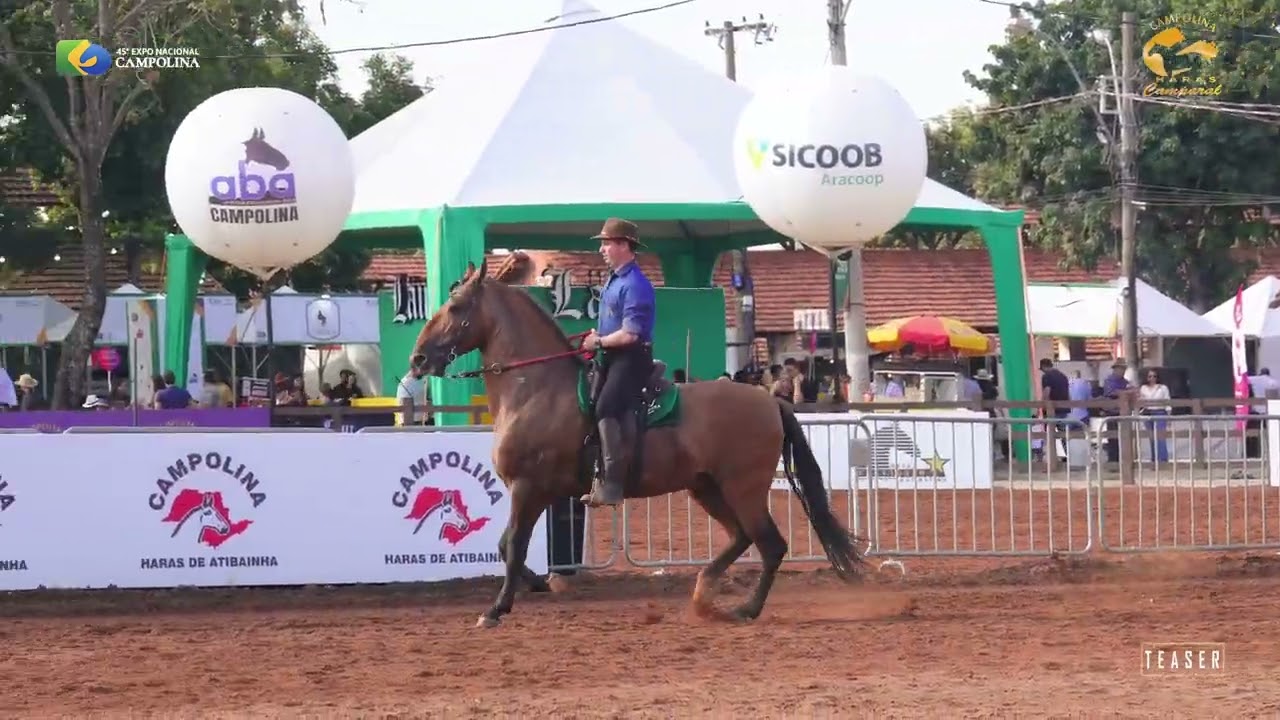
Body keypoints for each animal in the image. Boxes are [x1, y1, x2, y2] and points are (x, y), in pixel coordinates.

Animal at [410, 260, 864, 628]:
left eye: (455, 307)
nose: (418, 359)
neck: (537, 390)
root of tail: (769, 401)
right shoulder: (537, 493)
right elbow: (509, 547)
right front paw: (540, 584)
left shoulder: (528, 489)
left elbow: (513, 546)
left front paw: (496, 609)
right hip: (706, 488)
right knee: (742, 538)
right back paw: (705, 591)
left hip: (744, 489)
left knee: (770, 545)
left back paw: (745, 608)